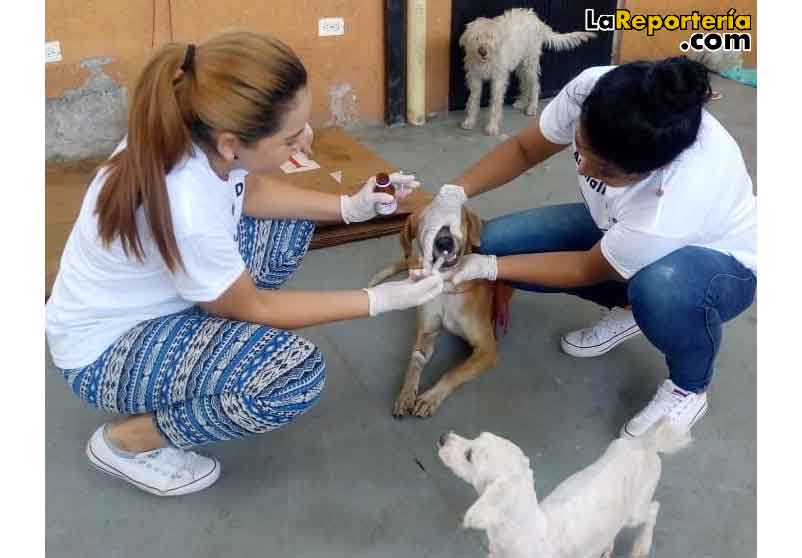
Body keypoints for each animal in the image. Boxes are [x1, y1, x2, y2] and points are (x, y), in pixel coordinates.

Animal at [368, 208, 510, 418]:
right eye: (426, 222)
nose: (444, 242)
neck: (446, 290)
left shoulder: (487, 349)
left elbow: (454, 372)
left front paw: (431, 397)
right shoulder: (426, 333)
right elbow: (413, 364)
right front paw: (406, 393)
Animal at [434, 420, 692, 558]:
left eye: (469, 455)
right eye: (476, 438)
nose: (442, 437)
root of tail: (644, 444)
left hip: (635, 512)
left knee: (653, 509)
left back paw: (641, 546)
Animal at [456, 8, 592, 137]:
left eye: (491, 37)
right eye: (476, 38)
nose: (482, 51)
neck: (487, 61)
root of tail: (536, 19)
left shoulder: (498, 80)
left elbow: (495, 102)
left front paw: (492, 127)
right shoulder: (475, 77)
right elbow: (473, 100)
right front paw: (470, 121)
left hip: (529, 63)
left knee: (535, 85)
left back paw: (531, 107)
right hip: (521, 65)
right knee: (525, 84)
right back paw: (522, 102)